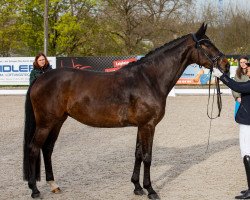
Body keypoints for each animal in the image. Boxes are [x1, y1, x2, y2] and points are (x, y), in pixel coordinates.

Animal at [23, 23, 230, 198]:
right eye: (206, 45)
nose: (226, 65)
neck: (149, 79)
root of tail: (40, 78)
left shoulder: (141, 126)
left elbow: (138, 154)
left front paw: (137, 187)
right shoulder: (148, 125)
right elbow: (147, 156)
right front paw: (150, 190)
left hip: (58, 121)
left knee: (47, 149)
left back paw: (53, 185)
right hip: (46, 123)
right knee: (34, 148)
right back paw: (34, 190)